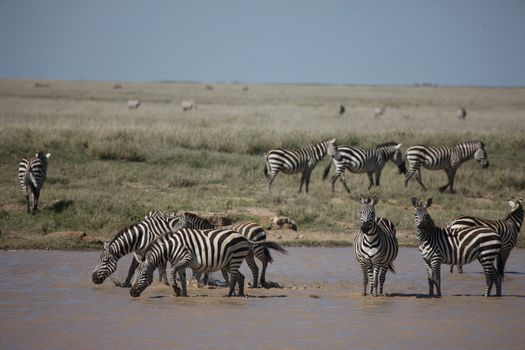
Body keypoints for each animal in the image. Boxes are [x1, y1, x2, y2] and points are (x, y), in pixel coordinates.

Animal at [130, 230, 286, 298]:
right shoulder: (180, 263)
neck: (171, 247)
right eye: (135, 274)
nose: (131, 293)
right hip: (229, 262)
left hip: (235, 258)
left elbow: (172, 271)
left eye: (143, 274)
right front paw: (183, 294)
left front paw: (176, 290)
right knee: (240, 277)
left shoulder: (186, 258)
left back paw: (229, 295)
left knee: (234, 278)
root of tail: (245, 237)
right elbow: (182, 277)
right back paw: (240, 295)